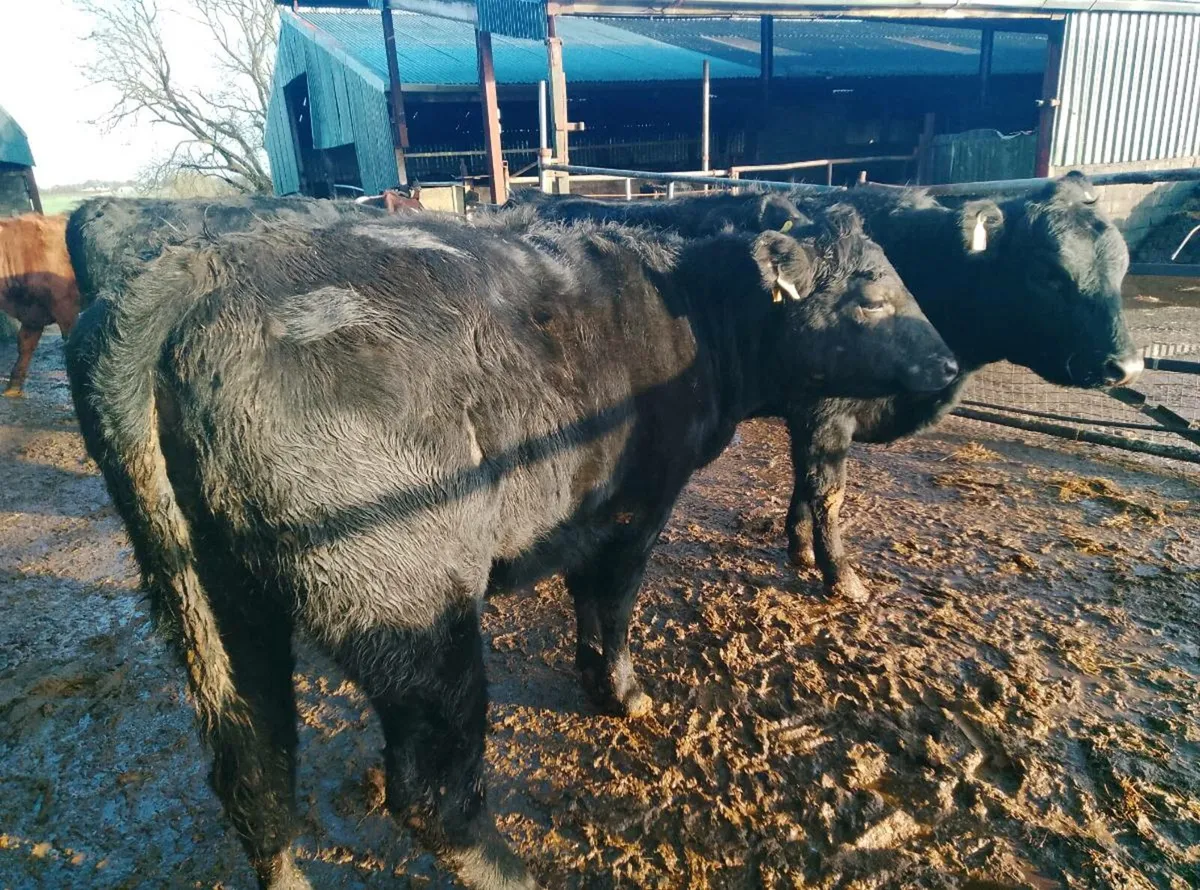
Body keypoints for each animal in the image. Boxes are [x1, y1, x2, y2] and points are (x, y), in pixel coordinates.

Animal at [781, 172, 1144, 600]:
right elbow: (827, 492)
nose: (1126, 367)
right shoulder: (824, 414)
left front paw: (801, 546)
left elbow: (805, 483)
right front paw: (840, 575)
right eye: (1049, 272)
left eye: (1121, 268)